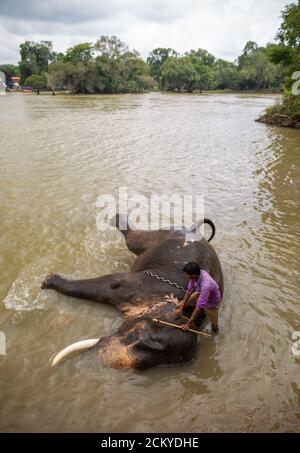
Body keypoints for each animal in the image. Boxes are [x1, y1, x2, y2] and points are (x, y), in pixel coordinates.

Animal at [43, 216, 224, 370]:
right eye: (145, 340)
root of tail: (195, 229)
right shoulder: (139, 286)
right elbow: (110, 284)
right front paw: (49, 281)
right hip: (161, 234)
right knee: (134, 240)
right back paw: (113, 219)